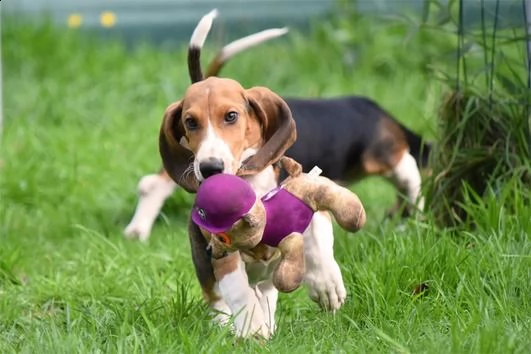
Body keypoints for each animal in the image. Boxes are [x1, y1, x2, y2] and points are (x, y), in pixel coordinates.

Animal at [125, 12, 432, 242]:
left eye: (231, 117)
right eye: (190, 122)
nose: (211, 168)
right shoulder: (389, 155)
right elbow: (412, 178)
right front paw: (415, 218)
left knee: (153, 182)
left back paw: (137, 230)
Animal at [156, 9, 352, 338]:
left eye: (231, 116)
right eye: (190, 122)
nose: (209, 169)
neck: (251, 184)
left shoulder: (305, 191)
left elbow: (316, 227)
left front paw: (325, 282)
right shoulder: (221, 252)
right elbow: (238, 292)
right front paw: (251, 329)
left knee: (268, 290)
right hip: (204, 266)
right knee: (220, 297)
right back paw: (230, 324)